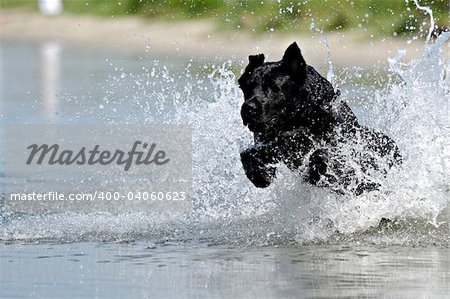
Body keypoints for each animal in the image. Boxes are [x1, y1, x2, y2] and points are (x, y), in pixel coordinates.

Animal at [239, 42, 400, 197]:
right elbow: (247, 154)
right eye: (246, 87)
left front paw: (316, 172)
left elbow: (322, 154)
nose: (248, 108)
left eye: (274, 87)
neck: (296, 120)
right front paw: (260, 174)